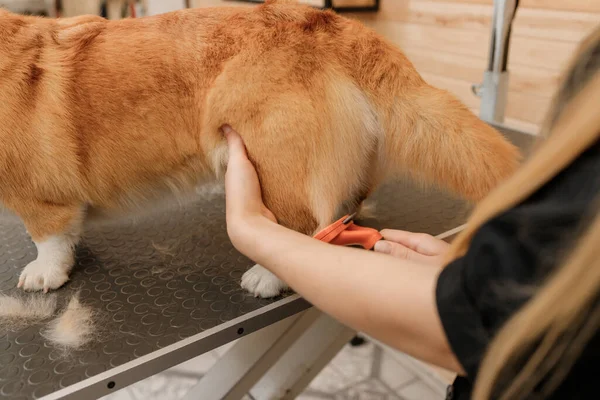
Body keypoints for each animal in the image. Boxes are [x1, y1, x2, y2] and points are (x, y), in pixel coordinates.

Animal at [0, 0, 520, 296]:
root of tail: (337, 27)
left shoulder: (37, 200)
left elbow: (48, 240)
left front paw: (44, 274)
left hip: (275, 165)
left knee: (301, 231)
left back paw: (265, 279)